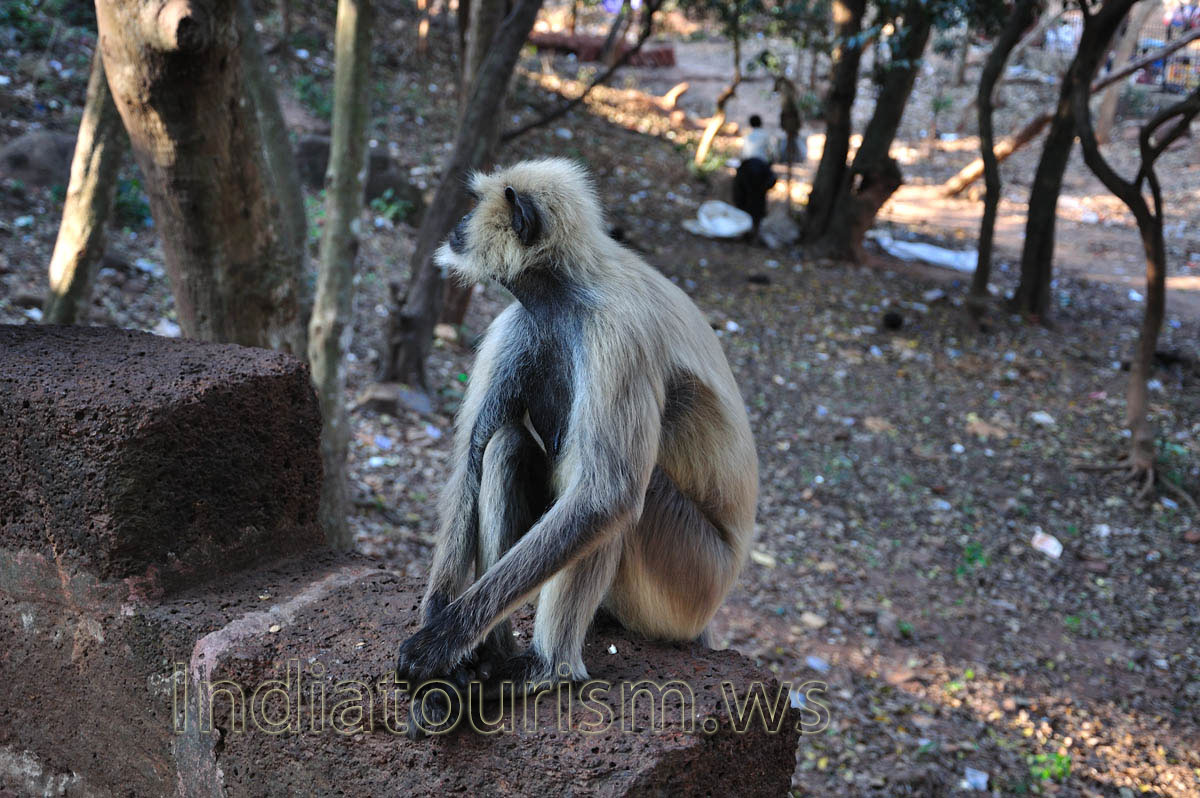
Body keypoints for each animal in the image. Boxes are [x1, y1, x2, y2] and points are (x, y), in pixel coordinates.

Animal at [394, 158, 758, 734]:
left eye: (475, 203)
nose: (457, 224)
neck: (567, 292)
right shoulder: (521, 323)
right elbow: (471, 459)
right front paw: (445, 639)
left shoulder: (618, 333)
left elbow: (605, 497)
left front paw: (439, 643)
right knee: (507, 446)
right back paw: (493, 657)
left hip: (693, 580)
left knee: (618, 497)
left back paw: (549, 668)